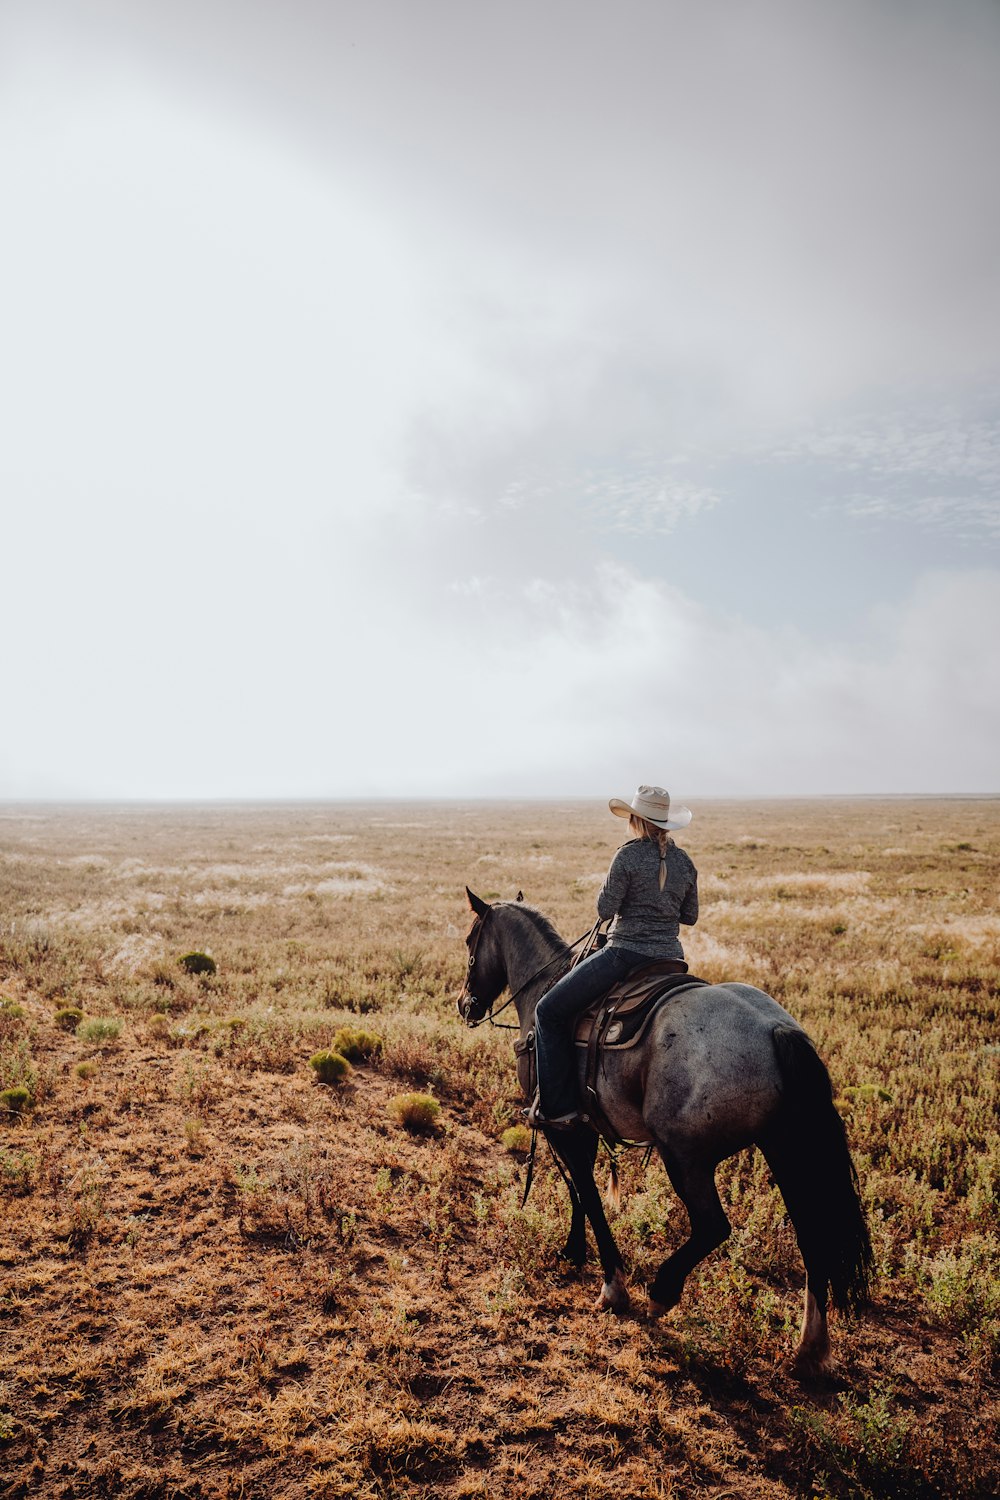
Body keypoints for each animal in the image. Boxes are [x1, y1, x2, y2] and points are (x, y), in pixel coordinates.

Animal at [458, 882, 869, 1374]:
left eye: (470, 943)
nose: (464, 1004)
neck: (543, 986)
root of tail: (775, 1031)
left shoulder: (562, 1124)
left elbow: (584, 1190)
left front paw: (611, 1284)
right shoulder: (581, 1126)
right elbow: (579, 1188)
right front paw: (575, 1252)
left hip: (686, 1158)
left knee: (713, 1227)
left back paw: (663, 1291)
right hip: (786, 1150)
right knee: (813, 1236)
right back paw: (810, 1347)